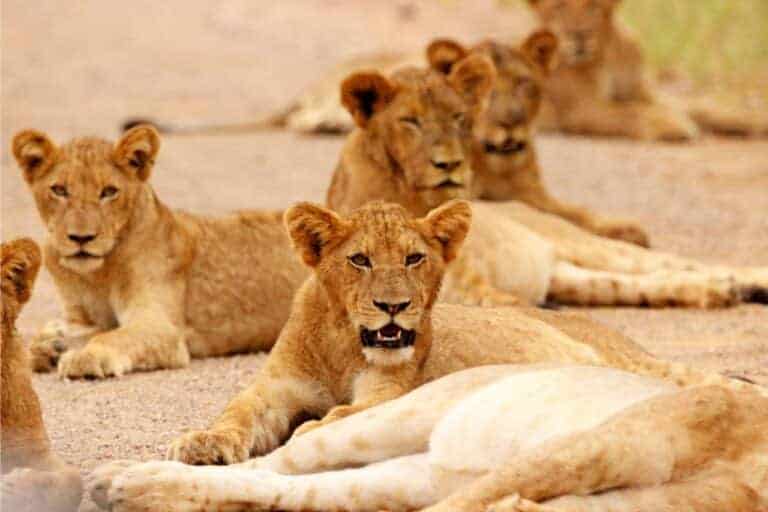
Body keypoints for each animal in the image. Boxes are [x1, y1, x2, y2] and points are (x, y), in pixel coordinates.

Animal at [12, 125, 308, 379]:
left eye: (109, 191)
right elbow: (84, 330)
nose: (81, 238)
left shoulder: (162, 327)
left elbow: (112, 336)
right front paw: (50, 346)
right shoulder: (81, 315)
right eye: (59, 190)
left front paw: (83, 356)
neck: (97, 274)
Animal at [157, 200, 759, 467]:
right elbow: (237, 412)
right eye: (359, 260)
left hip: (630, 359)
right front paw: (204, 444)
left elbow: (348, 413)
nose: (393, 306)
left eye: (414, 258)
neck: (340, 343)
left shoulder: (391, 389)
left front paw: (312, 432)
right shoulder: (274, 388)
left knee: (703, 378)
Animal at [326, 63, 768, 308]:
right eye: (410, 121)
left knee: (678, 263)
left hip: (587, 245)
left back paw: (740, 282)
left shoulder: (469, 283)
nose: (450, 163)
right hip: (575, 280)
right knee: (640, 283)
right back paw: (718, 293)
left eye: (459, 117)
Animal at [528, 0, 768, 139]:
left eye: (593, 6)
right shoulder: (582, 109)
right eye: (558, 6)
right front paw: (675, 123)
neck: (608, 53)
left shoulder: (643, 92)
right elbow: (630, 113)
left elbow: (702, 109)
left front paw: (757, 121)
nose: (579, 34)